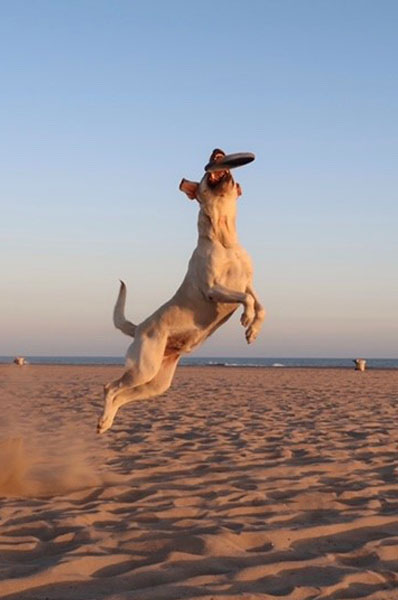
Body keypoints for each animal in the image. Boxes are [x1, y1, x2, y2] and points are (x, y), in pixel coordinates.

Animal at [97, 149, 264, 432]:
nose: (216, 151)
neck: (225, 239)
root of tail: (138, 328)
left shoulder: (248, 283)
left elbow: (260, 305)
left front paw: (253, 330)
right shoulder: (213, 288)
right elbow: (246, 300)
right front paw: (246, 318)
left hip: (156, 383)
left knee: (122, 395)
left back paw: (107, 422)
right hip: (143, 369)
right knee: (111, 387)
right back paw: (103, 419)